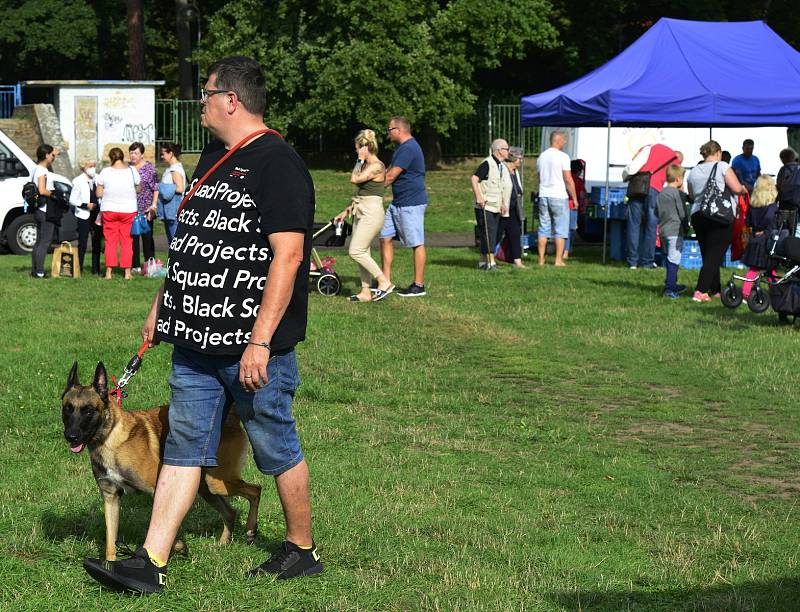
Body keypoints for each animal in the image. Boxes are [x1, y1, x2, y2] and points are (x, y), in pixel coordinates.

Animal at [64, 360, 262, 560]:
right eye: (67, 408)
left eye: (89, 410)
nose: (70, 436)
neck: (110, 437)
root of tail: (230, 415)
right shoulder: (111, 498)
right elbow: (110, 543)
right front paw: (109, 565)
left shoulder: (156, 490)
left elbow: (163, 525)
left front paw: (176, 547)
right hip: (206, 487)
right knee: (230, 512)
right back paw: (223, 543)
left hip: (216, 482)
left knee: (256, 490)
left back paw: (251, 529)